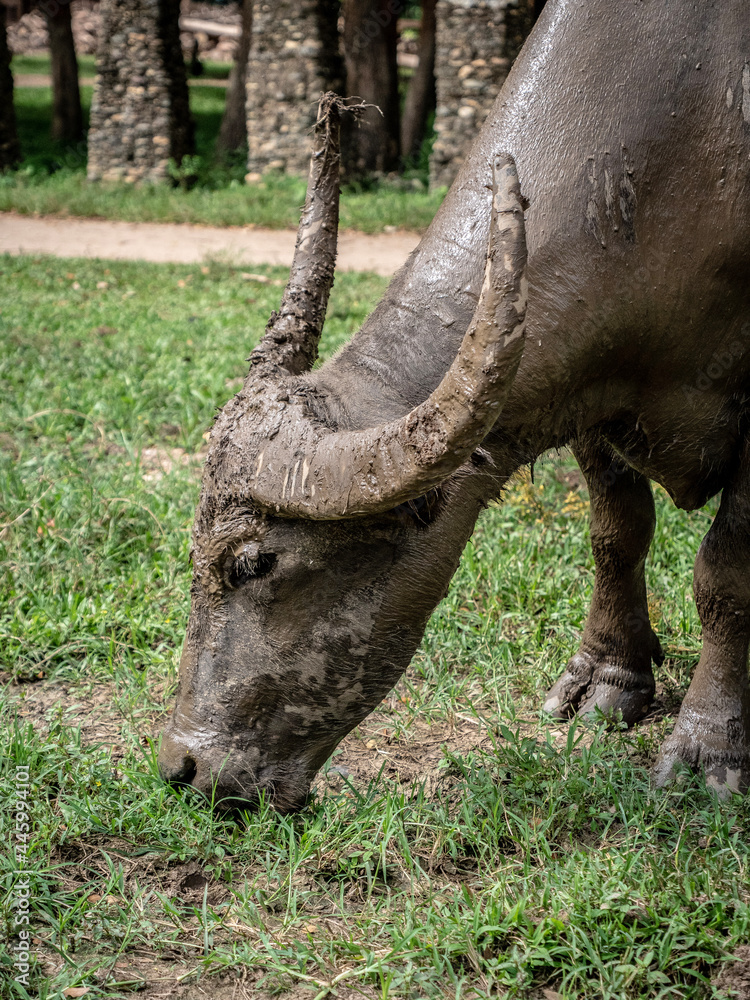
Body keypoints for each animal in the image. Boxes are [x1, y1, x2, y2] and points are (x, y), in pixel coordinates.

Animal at [159, 0, 750, 811]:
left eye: (254, 561)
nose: (182, 766)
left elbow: (724, 575)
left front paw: (708, 750)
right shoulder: (590, 397)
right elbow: (616, 531)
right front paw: (605, 680)